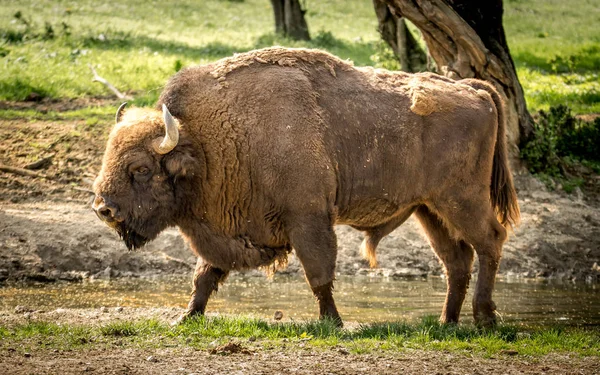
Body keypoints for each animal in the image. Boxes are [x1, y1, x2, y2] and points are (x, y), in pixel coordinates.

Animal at [91, 47, 516, 328]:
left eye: (141, 168)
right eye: (109, 153)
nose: (103, 209)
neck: (210, 142)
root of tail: (475, 90)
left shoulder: (308, 218)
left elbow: (318, 272)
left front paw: (333, 322)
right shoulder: (225, 230)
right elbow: (205, 275)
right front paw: (186, 317)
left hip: (462, 199)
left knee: (490, 241)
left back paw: (484, 318)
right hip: (430, 209)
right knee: (456, 259)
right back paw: (446, 322)